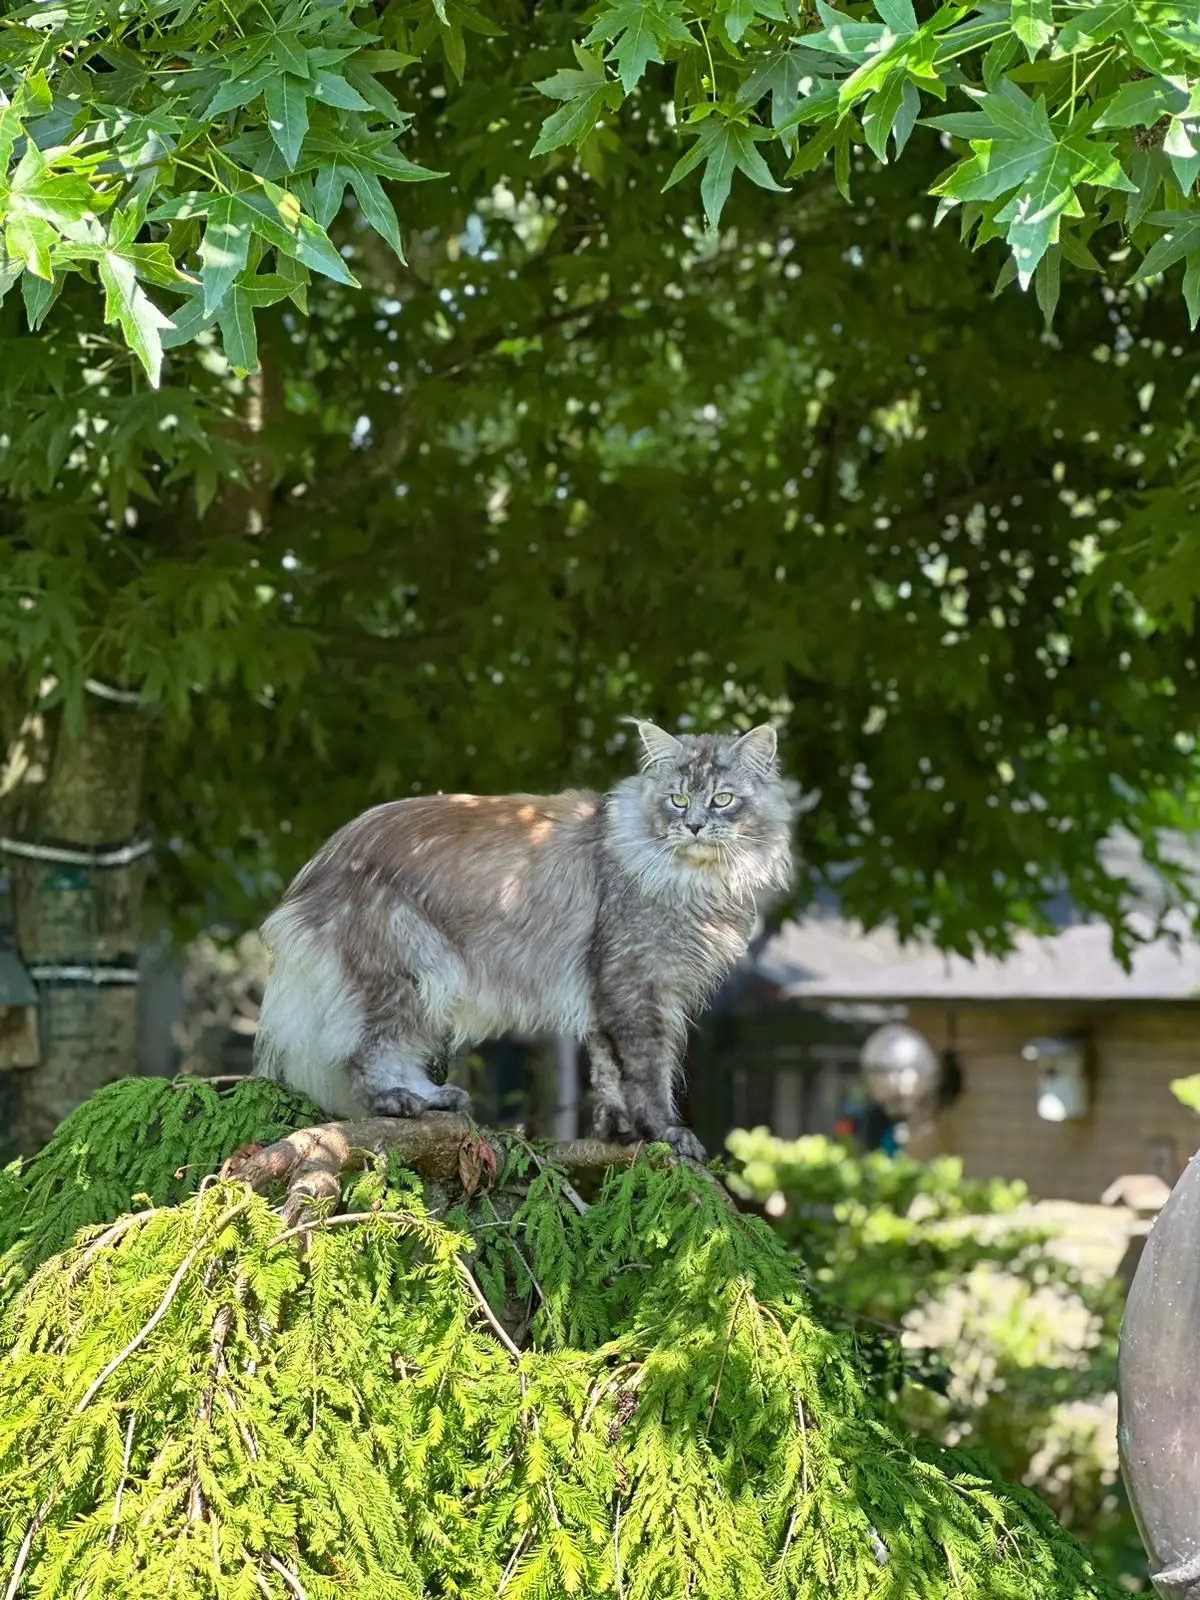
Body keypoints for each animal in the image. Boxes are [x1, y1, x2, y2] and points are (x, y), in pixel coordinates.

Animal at [252, 720, 793, 1158]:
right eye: (677, 799)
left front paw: (617, 1131)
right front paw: (663, 1132)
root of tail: (315, 868)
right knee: (364, 1053)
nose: (695, 825)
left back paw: (435, 1099)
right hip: (409, 969)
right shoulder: (637, 985)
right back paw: (397, 1102)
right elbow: (647, 1073)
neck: (694, 880)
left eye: (722, 799)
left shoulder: (608, 990)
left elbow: (607, 1070)